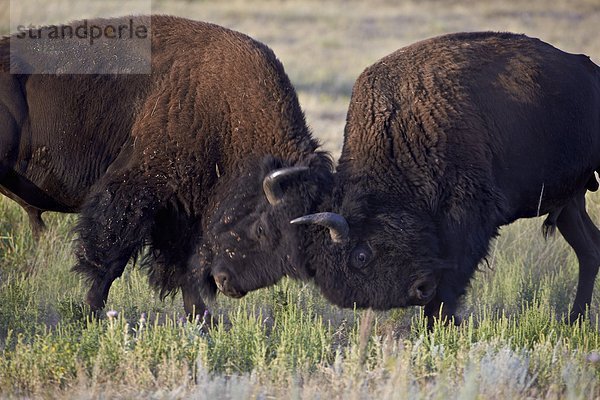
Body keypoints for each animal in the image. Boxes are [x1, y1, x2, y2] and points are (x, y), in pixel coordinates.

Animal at [0, 14, 330, 316]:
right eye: (263, 228)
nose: (230, 284)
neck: (231, 113)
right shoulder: (136, 189)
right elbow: (111, 256)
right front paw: (91, 313)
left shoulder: (181, 210)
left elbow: (185, 268)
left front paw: (205, 321)